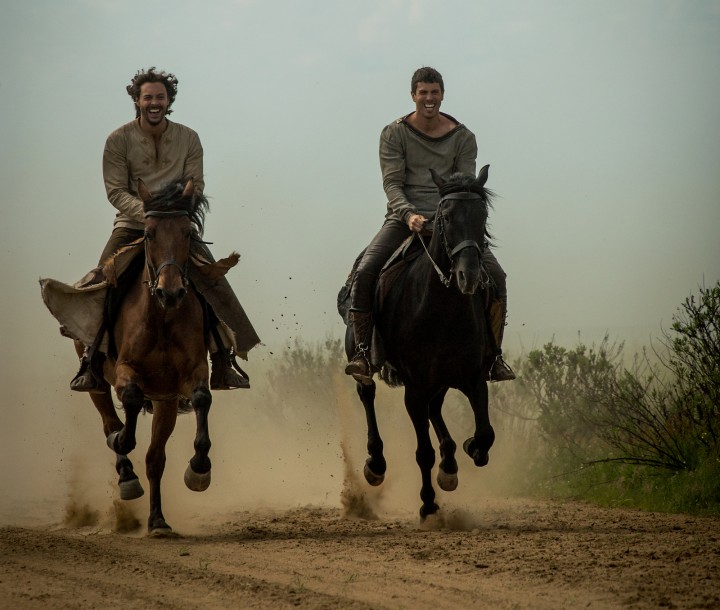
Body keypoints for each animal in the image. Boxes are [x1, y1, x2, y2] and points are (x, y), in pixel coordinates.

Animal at [77, 176, 238, 532]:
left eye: (188, 233)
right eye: (149, 233)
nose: (171, 291)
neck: (161, 317)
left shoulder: (187, 377)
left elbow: (202, 399)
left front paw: (198, 470)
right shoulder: (126, 369)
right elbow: (130, 403)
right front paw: (122, 441)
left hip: (165, 403)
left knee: (154, 459)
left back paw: (158, 521)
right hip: (97, 385)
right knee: (109, 421)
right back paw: (126, 475)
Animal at [342, 164, 496, 516]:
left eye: (482, 215)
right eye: (446, 217)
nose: (468, 276)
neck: (441, 308)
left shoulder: (473, 378)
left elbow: (485, 435)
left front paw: (465, 451)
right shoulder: (413, 388)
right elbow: (423, 452)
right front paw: (427, 504)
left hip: (439, 379)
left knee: (435, 408)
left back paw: (450, 462)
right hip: (365, 361)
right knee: (366, 394)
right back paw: (375, 464)